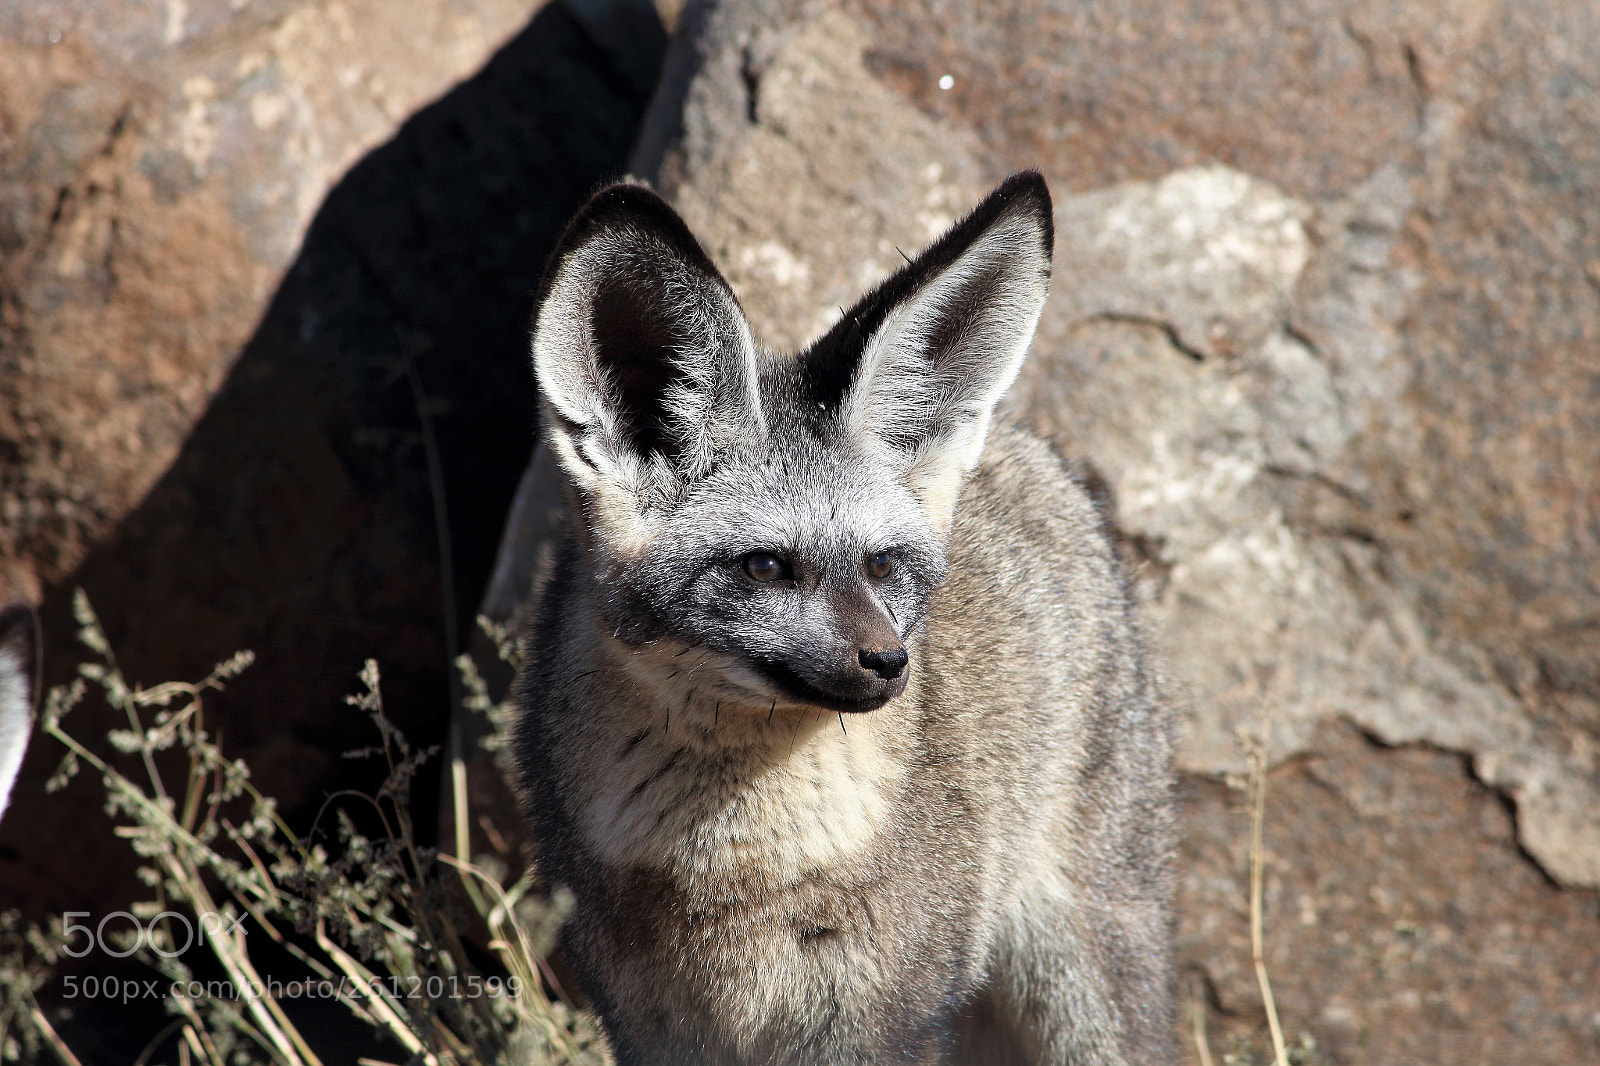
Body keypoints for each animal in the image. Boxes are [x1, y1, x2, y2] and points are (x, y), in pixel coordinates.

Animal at [512, 172, 1176, 1065]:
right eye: (765, 567)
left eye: (883, 566)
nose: (890, 664)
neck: (730, 873)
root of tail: (1040, 451)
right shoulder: (649, 1024)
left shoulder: (879, 1021)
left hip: (1084, 992)